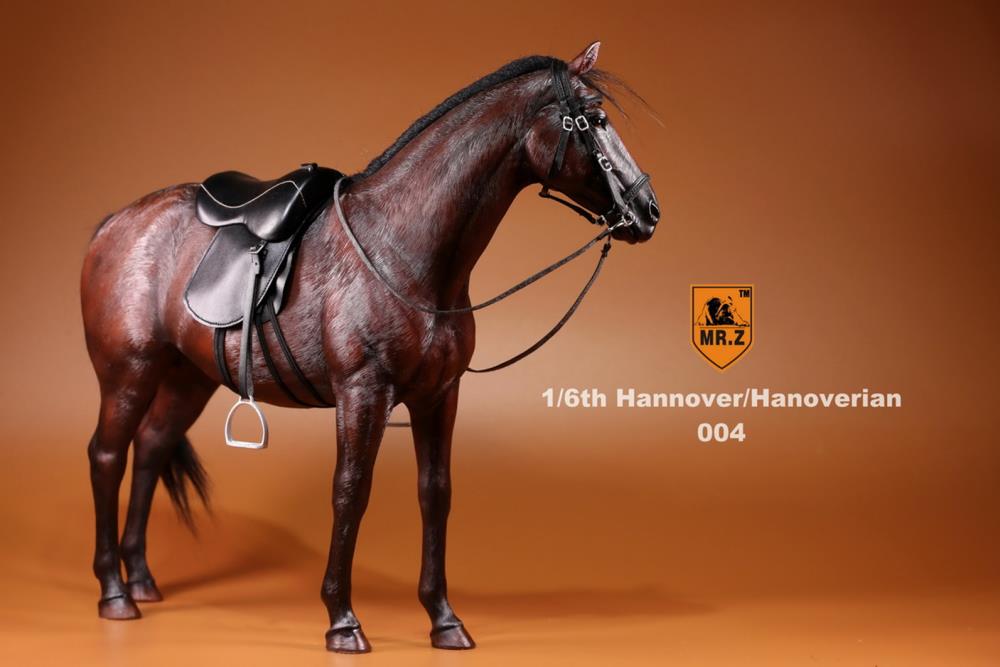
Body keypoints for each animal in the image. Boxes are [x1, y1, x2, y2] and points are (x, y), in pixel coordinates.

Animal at [80, 41, 659, 652]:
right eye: (593, 119)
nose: (648, 210)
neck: (401, 249)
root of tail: (116, 224)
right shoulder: (362, 393)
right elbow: (350, 491)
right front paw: (342, 618)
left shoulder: (439, 396)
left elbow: (436, 493)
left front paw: (444, 618)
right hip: (128, 373)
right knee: (108, 456)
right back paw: (114, 592)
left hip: (186, 378)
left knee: (150, 450)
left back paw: (142, 580)